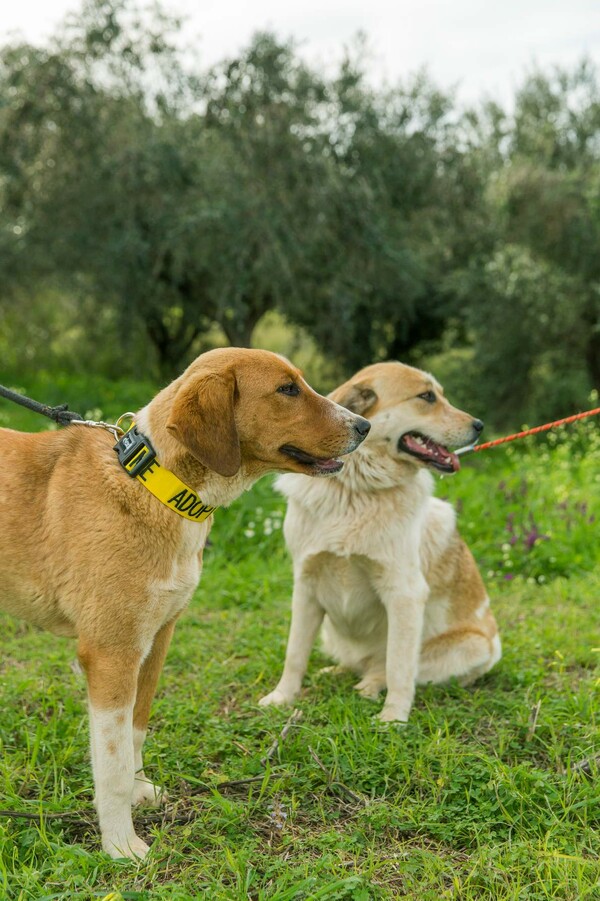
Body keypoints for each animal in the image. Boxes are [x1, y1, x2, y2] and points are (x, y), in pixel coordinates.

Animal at [0, 346, 370, 856]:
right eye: (287, 389)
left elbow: (135, 732)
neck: (156, 485)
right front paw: (121, 845)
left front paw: (139, 793)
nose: (365, 425)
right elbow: (111, 764)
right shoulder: (111, 653)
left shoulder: (156, 640)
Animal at [260, 362, 500, 720]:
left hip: (469, 645)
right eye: (427, 396)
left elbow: (398, 667)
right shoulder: (305, 584)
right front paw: (282, 697)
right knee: (356, 663)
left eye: (438, 395)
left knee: (384, 667)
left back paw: (369, 686)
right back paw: (336, 672)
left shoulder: (404, 593)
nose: (480, 426)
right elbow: (295, 653)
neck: (356, 490)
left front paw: (394, 718)